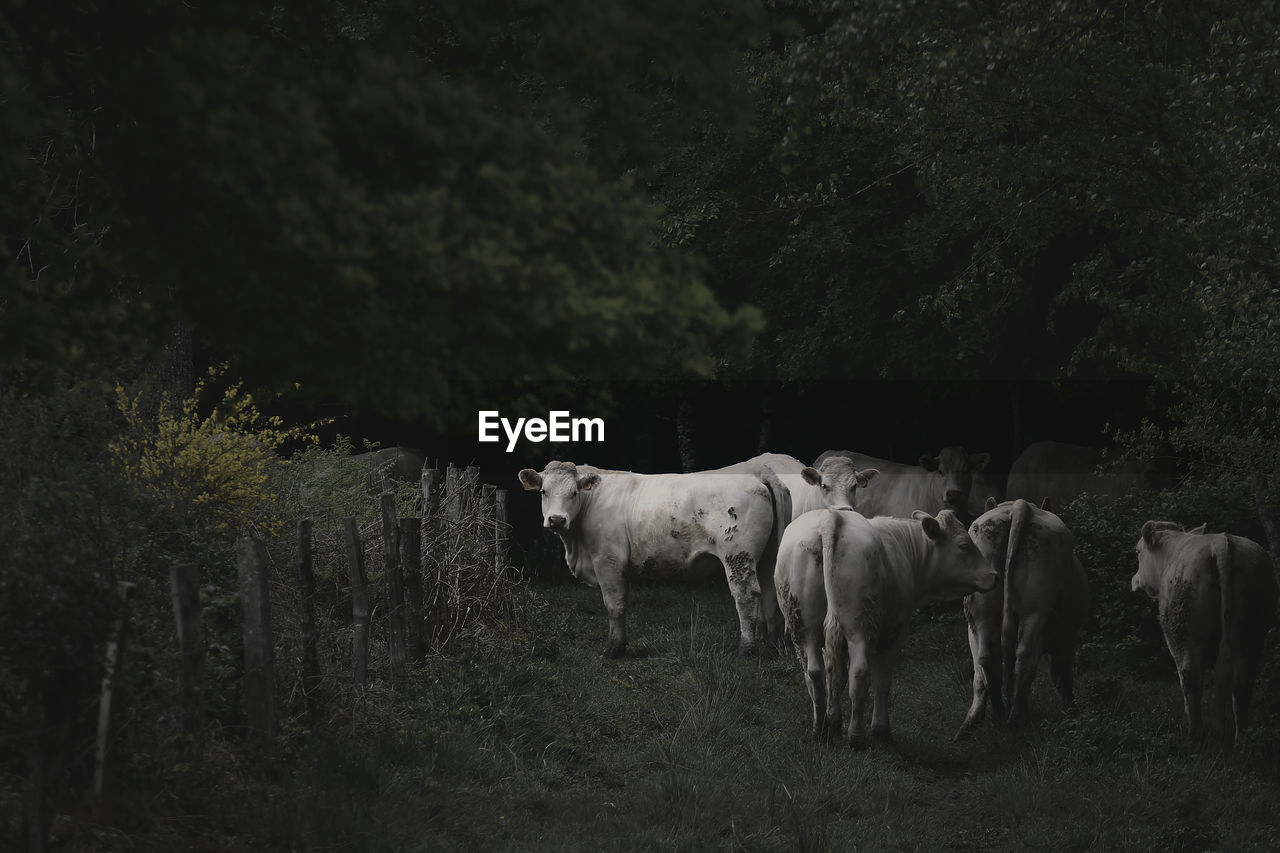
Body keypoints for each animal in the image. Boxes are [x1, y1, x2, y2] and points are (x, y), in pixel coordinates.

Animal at [519, 461, 788, 653]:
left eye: (574, 493)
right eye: (543, 492)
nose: (556, 519)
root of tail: (756, 471)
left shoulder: (608, 561)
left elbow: (614, 605)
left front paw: (613, 649)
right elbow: (622, 603)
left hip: (738, 556)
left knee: (745, 595)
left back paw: (747, 649)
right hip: (767, 557)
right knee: (768, 591)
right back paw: (770, 646)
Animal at [768, 504, 998, 742]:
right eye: (964, 546)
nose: (994, 575)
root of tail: (831, 516)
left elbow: (836, 677)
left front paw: (835, 721)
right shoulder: (895, 629)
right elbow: (881, 680)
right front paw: (880, 729)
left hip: (803, 626)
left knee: (814, 672)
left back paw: (821, 730)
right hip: (860, 626)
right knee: (859, 673)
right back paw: (856, 737)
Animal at [957, 494, 1085, 732]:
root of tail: (1019, 506)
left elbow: (979, 676)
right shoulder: (1067, 638)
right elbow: (1062, 674)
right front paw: (1072, 713)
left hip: (983, 611)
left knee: (987, 659)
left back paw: (994, 718)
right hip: (1036, 610)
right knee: (1025, 659)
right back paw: (1016, 720)